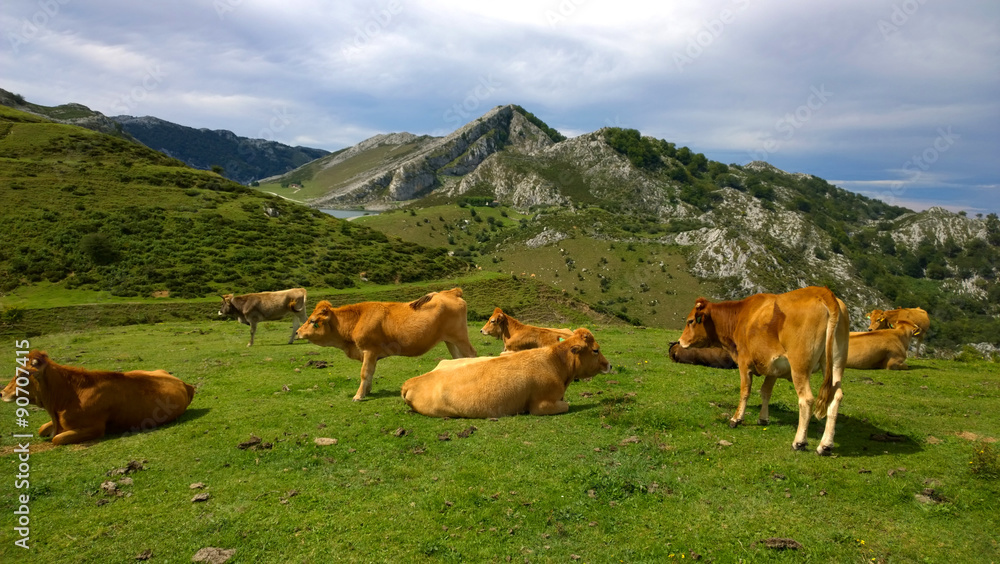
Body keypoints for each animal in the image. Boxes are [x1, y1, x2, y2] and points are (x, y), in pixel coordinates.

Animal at [1, 351, 195, 445]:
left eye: (22, 376)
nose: (2, 393)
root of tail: (184, 383)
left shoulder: (94, 428)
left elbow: (57, 439)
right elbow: (42, 429)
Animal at [295, 288, 477, 401]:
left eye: (312, 321)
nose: (297, 332)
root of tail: (449, 292)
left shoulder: (369, 350)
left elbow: (365, 373)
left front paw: (358, 396)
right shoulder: (372, 354)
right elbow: (370, 373)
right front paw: (367, 391)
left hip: (460, 337)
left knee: (472, 355)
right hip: (450, 340)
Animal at [401, 328, 611, 418]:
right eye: (595, 350)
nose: (609, 365)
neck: (555, 363)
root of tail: (411, 381)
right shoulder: (541, 405)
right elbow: (566, 405)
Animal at [678, 286, 849, 455]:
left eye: (690, 321)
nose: (679, 341)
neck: (740, 316)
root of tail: (822, 292)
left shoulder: (744, 363)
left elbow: (745, 391)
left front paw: (736, 419)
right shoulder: (774, 367)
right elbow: (765, 391)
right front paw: (763, 419)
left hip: (800, 367)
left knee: (806, 399)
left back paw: (799, 442)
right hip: (835, 365)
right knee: (836, 397)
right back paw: (825, 445)